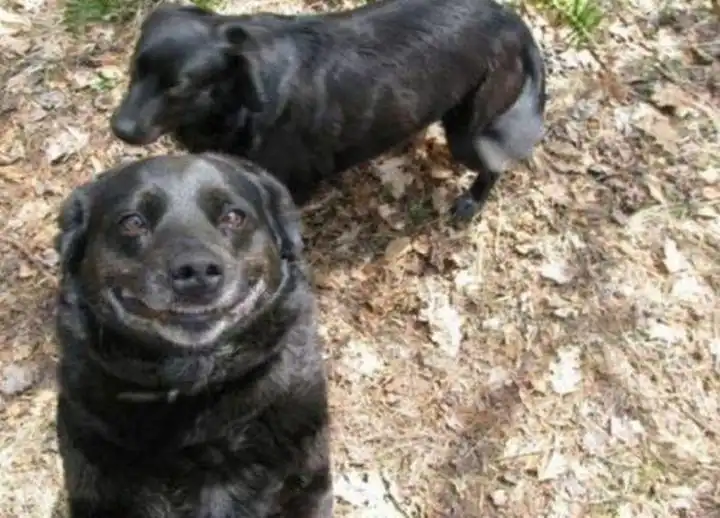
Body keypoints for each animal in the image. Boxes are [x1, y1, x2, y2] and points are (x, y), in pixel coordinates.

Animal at [110, 0, 547, 222]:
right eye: (135, 67)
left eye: (178, 87)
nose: (119, 128)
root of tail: (512, 21)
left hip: (469, 130)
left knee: (494, 165)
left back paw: (472, 202)